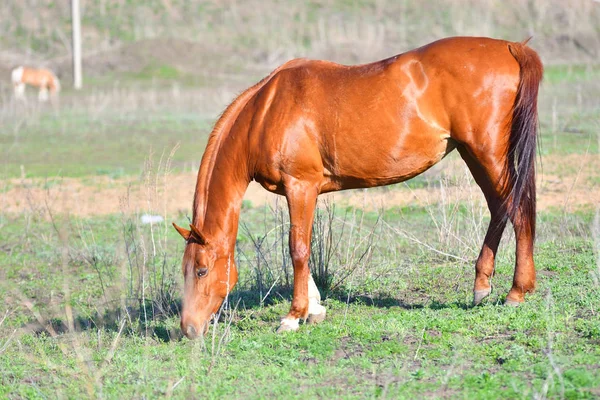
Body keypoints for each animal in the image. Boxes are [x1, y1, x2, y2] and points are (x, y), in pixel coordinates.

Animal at [173, 36, 544, 338]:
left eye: (202, 270)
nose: (188, 329)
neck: (265, 113)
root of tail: (510, 47)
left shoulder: (300, 187)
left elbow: (297, 248)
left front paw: (293, 317)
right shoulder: (302, 192)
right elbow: (302, 247)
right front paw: (315, 308)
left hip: (487, 152)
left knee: (518, 209)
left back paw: (516, 292)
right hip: (473, 154)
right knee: (500, 207)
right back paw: (482, 286)